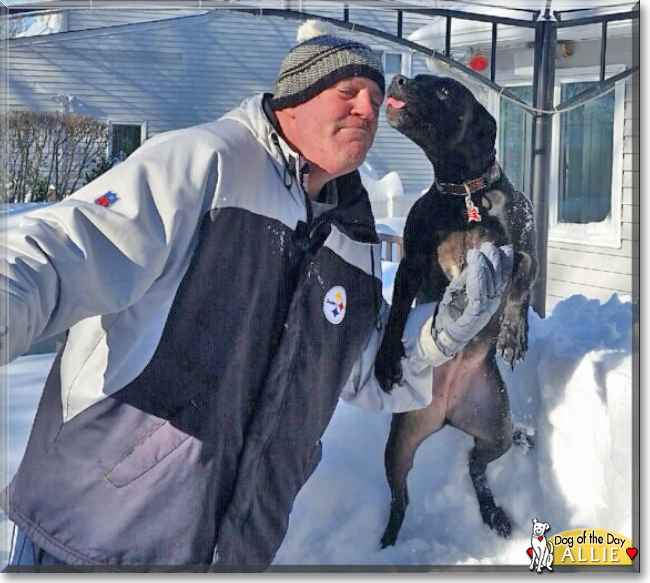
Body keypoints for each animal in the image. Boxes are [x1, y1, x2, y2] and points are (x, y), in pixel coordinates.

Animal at [374, 75, 536, 548]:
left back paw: (494, 513)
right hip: (399, 446)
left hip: (495, 426)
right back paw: (388, 542)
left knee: (477, 468)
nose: (399, 78)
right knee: (401, 499)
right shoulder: (411, 260)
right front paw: (387, 358)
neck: (464, 192)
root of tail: (447, 413)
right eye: (418, 80)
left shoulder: (524, 249)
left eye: (445, 91)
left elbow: (522, 278)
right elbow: (397, 312)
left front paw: (513, 334)